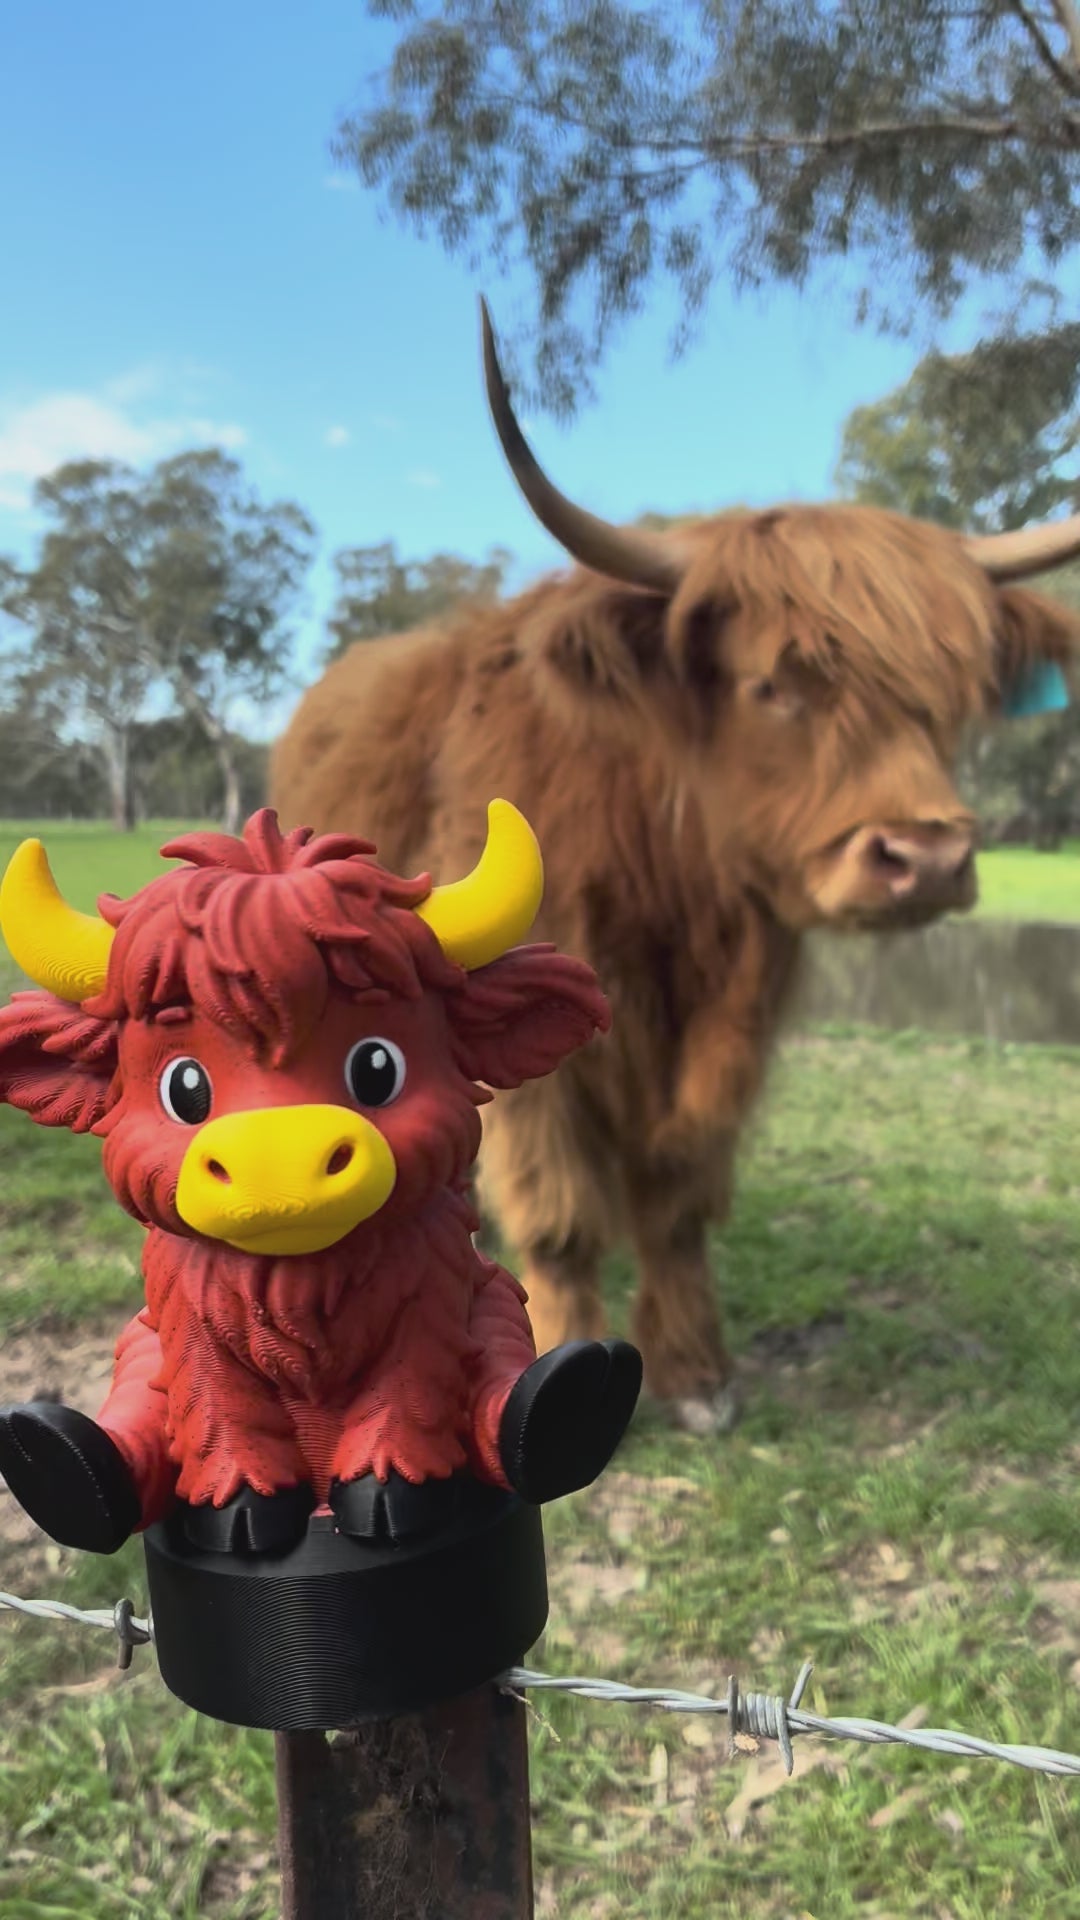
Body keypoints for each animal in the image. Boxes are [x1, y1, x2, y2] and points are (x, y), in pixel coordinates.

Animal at [269, 302, 1080, 1438]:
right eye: (771, 684)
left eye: (948, 695)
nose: (924, 859)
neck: (673, 891)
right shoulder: (531, 1054)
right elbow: (561, 1213)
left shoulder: (728, 1033)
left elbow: (680, 1203)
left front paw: (698, 1372)